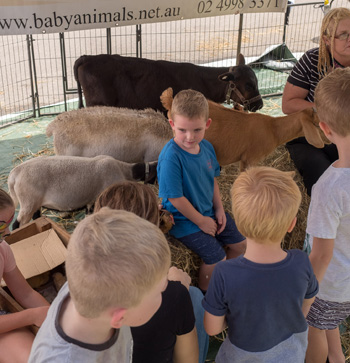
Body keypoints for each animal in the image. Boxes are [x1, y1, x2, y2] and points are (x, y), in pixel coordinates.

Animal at [8, 156, 157, 229]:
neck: (123, 169)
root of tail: (14, 174)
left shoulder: (92, 200)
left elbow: (88, 214)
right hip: (28, 202)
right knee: (17, 224)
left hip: (34, 203)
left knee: (36, 217)